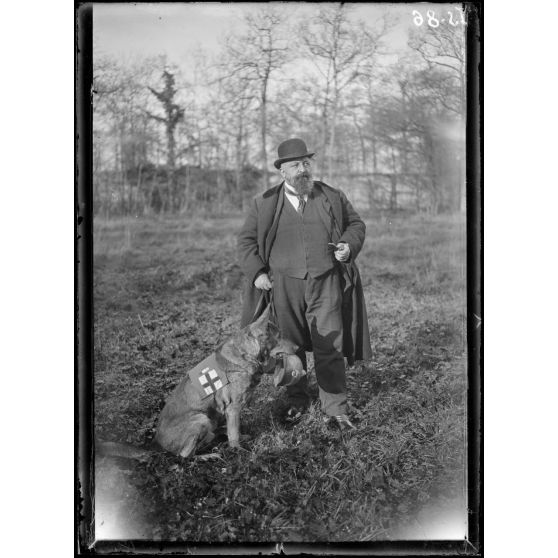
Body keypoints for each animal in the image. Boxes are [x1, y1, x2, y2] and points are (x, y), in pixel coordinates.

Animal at [97, 306, 306, 464]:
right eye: (278, 336)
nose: (298, 347)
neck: (246, 355)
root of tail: (155, 443)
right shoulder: (233, 408)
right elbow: (234, 434)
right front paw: (238, 450)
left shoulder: (231, 410)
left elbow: (234, 430)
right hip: (200, 419)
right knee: (184, 456)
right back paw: (208, 456)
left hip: (209, 419)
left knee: (209, 438)